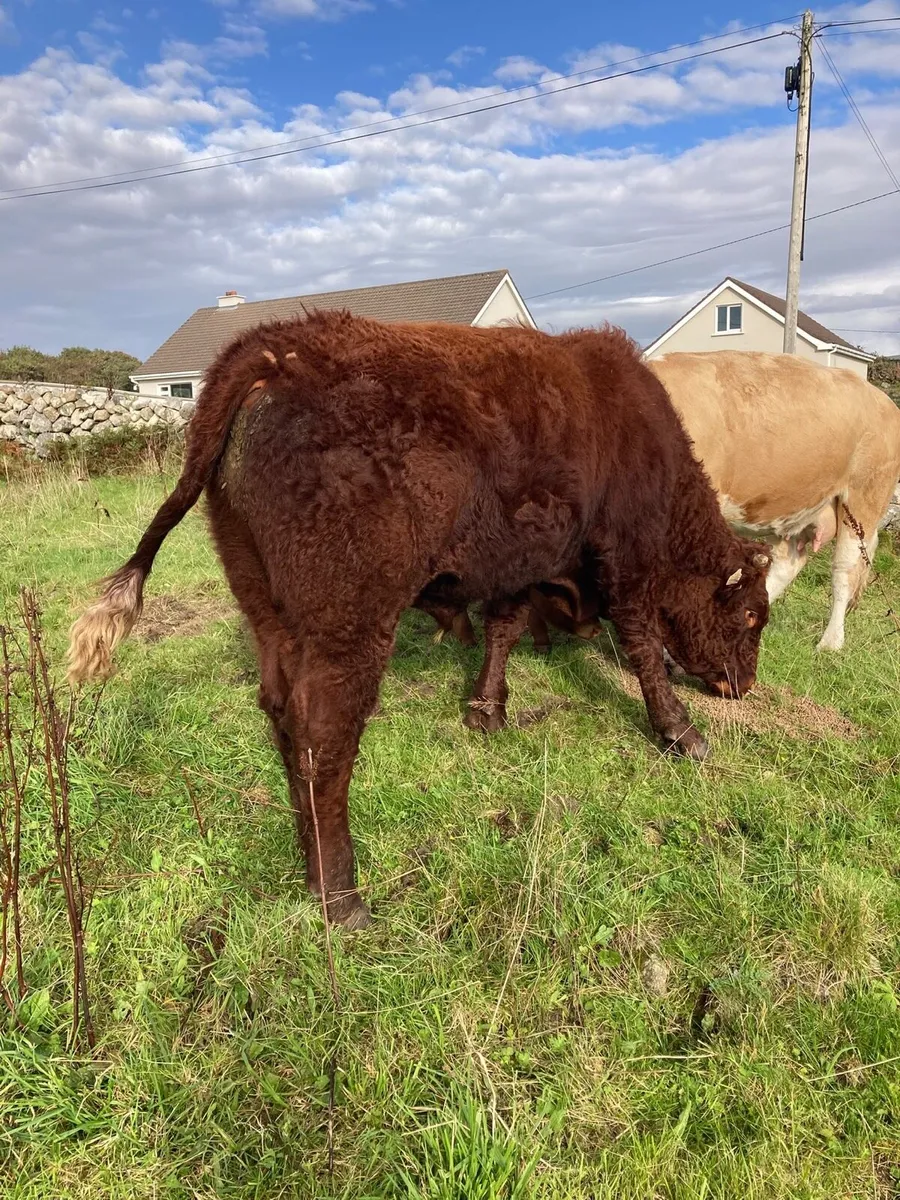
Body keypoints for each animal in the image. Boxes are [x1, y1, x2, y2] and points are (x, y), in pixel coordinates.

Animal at [66, 313, 771, 928]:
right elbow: (643, 643)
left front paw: (487, 710)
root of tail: (274, 349)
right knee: (324, 737)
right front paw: (682, 733)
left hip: (268, 609)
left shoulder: (517, 563)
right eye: (751, 617)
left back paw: (309, 856)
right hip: (349, 626)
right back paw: (342, 896)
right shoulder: (624, 558)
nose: (743, 686)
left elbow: (503, 628)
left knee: (282, 714)